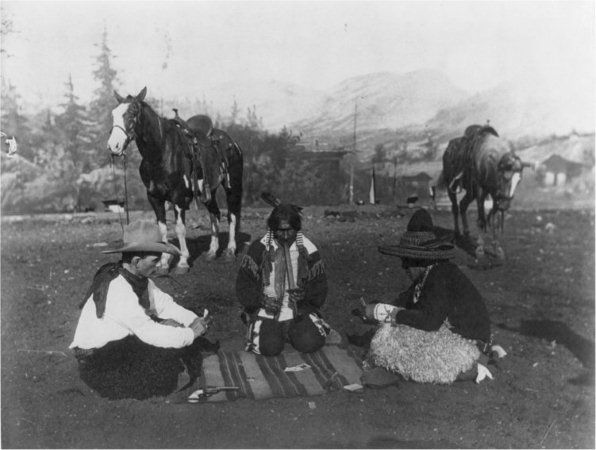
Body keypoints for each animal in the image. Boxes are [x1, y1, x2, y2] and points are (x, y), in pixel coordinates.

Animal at [106, 86, 242, 272]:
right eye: (113, 113)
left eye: (133, 112)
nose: (114, 146)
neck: (161, 154)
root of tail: (231, 142)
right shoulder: (154, 197)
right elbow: (163, 230)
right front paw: (163, 262)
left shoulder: (178, 197)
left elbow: (179, 229)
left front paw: (183, 262)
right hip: (208, 192)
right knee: (215, 214)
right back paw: (212, 251)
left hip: (232, 187)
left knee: (232, 216)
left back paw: (230, 251)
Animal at [438, 125, 532, 258]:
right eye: (505, 177)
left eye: (518, 181)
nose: (505, 205)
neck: (488, 163)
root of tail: (448, 149)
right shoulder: (480, 192)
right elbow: (481, 220)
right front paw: (480, 249)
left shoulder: (495, 195)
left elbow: (495, 222)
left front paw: (497, 249)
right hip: (451, 186)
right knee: (455, 208)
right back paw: (457, 234)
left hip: (470, 193)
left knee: (463, 205)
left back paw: (467, 234)